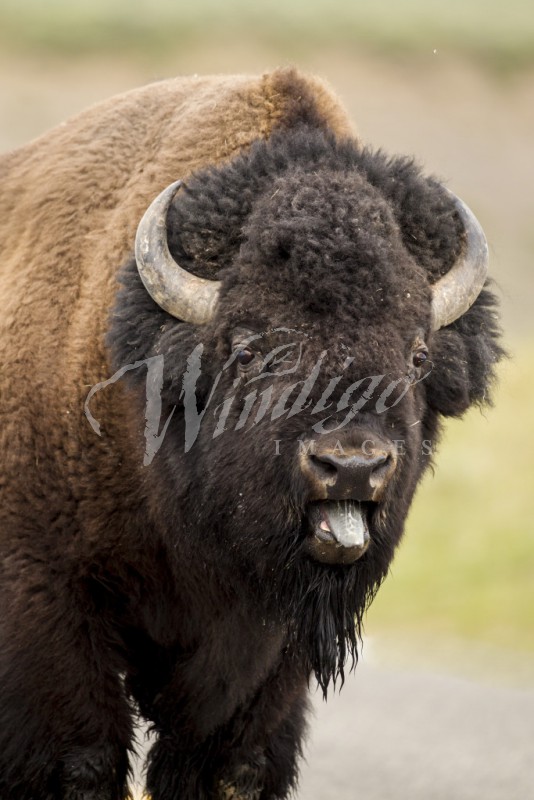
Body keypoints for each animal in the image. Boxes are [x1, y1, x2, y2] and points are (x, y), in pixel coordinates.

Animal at [0, 68, 503, 800]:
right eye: (250, 350)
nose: (352, 465)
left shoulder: (268, 654)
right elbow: (81, 761)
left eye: (417, 356)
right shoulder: (47, 600)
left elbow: (231, 766)